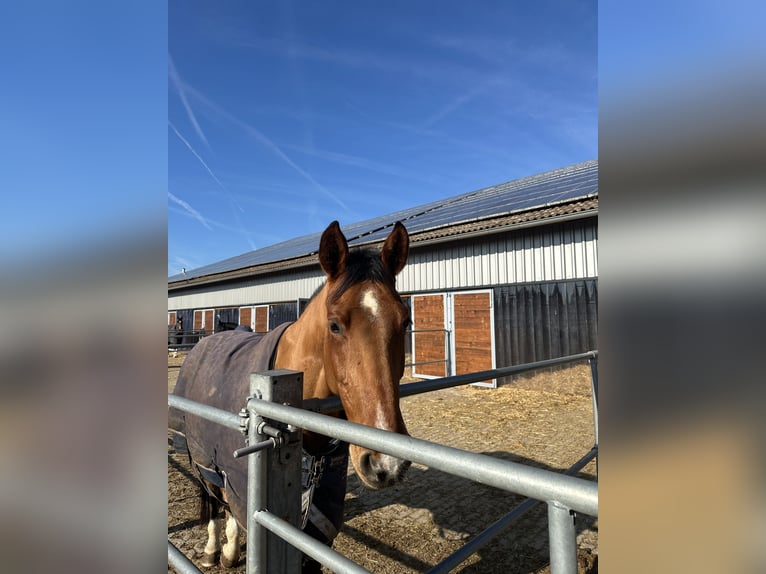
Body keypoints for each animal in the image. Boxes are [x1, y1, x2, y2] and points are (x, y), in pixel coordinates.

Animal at [170, 220, 414, 572]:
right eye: (334, 325)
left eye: (405, 321)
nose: (387, 463)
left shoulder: (318, 528)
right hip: (203, 458)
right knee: (214, 501)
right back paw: (214, 549)